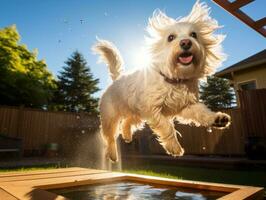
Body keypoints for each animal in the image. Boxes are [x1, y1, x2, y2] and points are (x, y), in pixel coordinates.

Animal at [93, 0, 231, 162]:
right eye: (170, 37)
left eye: (194, 35)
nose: (185, 42)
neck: (174, 79)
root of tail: (116, 80)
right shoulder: (153, 110)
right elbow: (167, 127)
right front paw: (174, 147)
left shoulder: (186, 106)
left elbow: (202, 113)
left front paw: (217, 118)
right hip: (111, 117)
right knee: (110, 136)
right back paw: (113, 154)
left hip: (136, 113)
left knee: (126, 122)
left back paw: (126, 135)